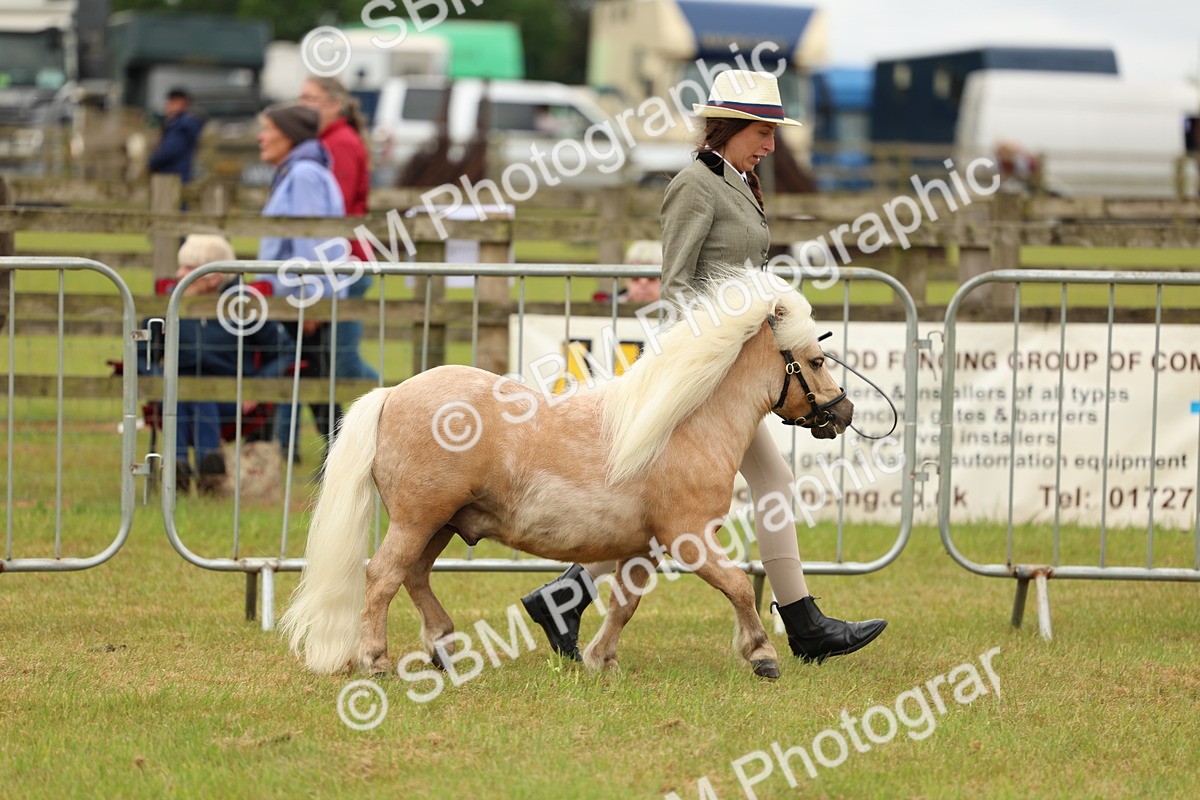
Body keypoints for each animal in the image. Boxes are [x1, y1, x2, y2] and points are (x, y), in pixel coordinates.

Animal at [279, 270, 854, 680]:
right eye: (816, 360)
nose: (844, 412)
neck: (682, 424)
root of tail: (393, 394)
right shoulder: (688, 538)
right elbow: (736, 585)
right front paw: (761, 655)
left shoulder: (645, 547)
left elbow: (624, 604)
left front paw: (601, 659)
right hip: (418, 519)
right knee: (383, 576)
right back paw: (375, 659)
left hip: (439, 522)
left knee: (414, 575)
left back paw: (444, 645)